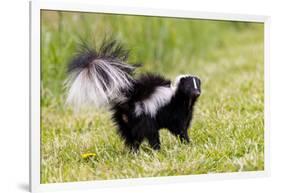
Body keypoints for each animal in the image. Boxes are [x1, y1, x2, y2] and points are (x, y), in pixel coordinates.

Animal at [65, 38, 201, 151]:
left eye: (198, 85)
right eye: (189, 87)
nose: (197, 92)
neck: (182, 99)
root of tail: (129, 100)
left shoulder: (186, 113)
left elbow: (183, 127)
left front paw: (187, 143)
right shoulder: (174, 112)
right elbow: (179, 129)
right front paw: (187, 142)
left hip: (126, 121)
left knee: (131, 136)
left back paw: (134, 151)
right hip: (143, 116)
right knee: (150, 134)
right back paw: (156, 149)